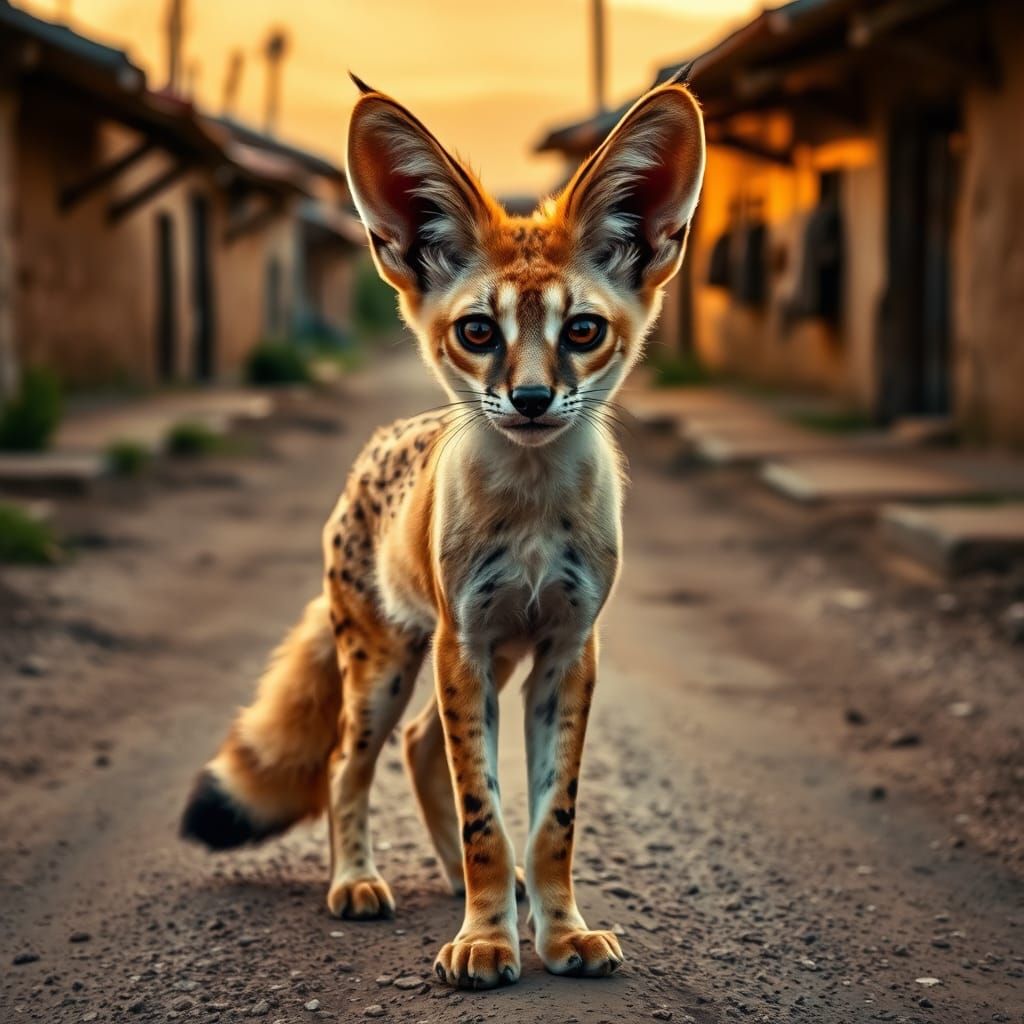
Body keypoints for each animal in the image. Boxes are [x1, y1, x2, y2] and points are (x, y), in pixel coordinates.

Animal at [180, 72, 705, 989]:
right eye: (477, 332)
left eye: (582, 331)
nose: (530, 400)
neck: (530, 520)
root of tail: (378, 446)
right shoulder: (468, 643)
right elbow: (484, 815)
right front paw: (487, 940)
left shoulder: (566, 650)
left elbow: (549, 823)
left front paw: (558, 933)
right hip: (388, 666)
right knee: (348, 765)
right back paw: (358, 882)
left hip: (472, 663)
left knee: (424, 746)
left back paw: (475, 891)